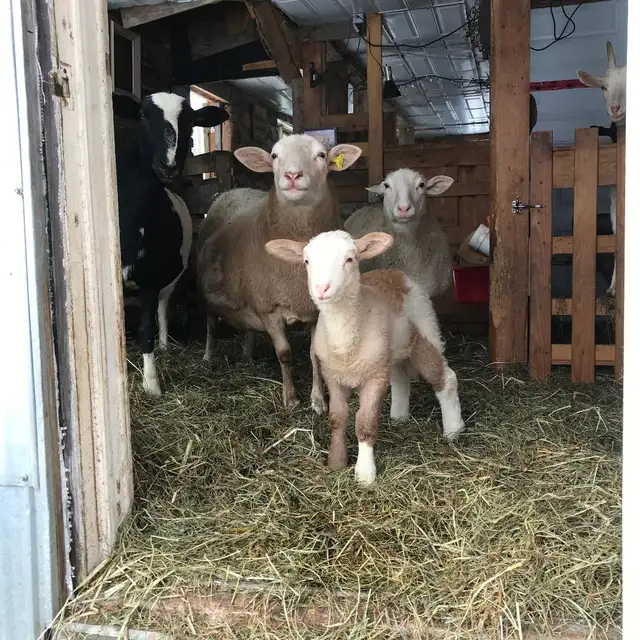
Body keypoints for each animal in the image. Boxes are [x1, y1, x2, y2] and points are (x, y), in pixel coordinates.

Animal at [116, 91, 229, 395]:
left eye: (191, 123)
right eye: (143, 116)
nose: (168, 166)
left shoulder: (152, 278)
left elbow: (146, 330)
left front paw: (152, 383)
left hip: (171, 276)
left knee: (163, 307)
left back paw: (165, 345)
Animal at [197, 135, 362, 412]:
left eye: (321, 155)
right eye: (274, 156)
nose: (292, 175)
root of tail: (234, 191)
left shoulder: (316, 311)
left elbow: (315, 354)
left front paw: (318, 400)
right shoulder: (270, 310)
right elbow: (284, 353)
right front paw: (291, 397)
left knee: (248, 328)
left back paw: (248, 355)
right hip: (209, 294)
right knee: (210, 322)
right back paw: (208, 356)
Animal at [265, 230, 465, 485]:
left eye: (350, 259)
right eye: (307, 261)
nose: (322, 288)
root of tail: (397, 274)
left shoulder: (374, 377)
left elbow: (365, 422)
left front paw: (365, 473)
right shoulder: (333, 375)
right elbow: (338, 418)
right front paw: (336, 462)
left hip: (424, 331)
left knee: (446, 378)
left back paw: (453, 429)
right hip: (390, 351)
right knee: (401, 378)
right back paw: (399, 417)